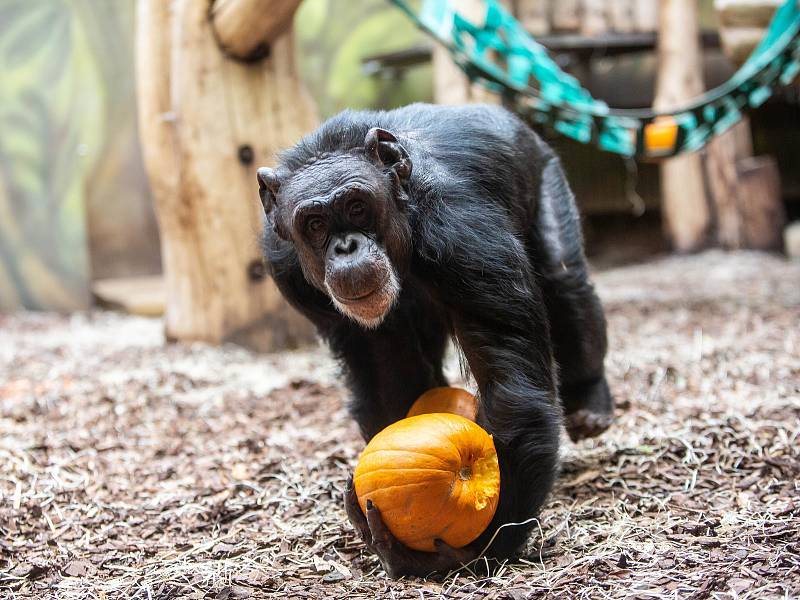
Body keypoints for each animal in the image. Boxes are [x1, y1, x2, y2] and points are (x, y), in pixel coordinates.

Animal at [256, 102, 612, 576]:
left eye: (357, 206)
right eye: (314, 224)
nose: (346, 246)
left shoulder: (468, 237)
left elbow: (514, 393)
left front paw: (477, 548)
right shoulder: (287, 270)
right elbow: (389, 373)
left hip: (545, 172)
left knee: (563, 277)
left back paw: (591, 402)